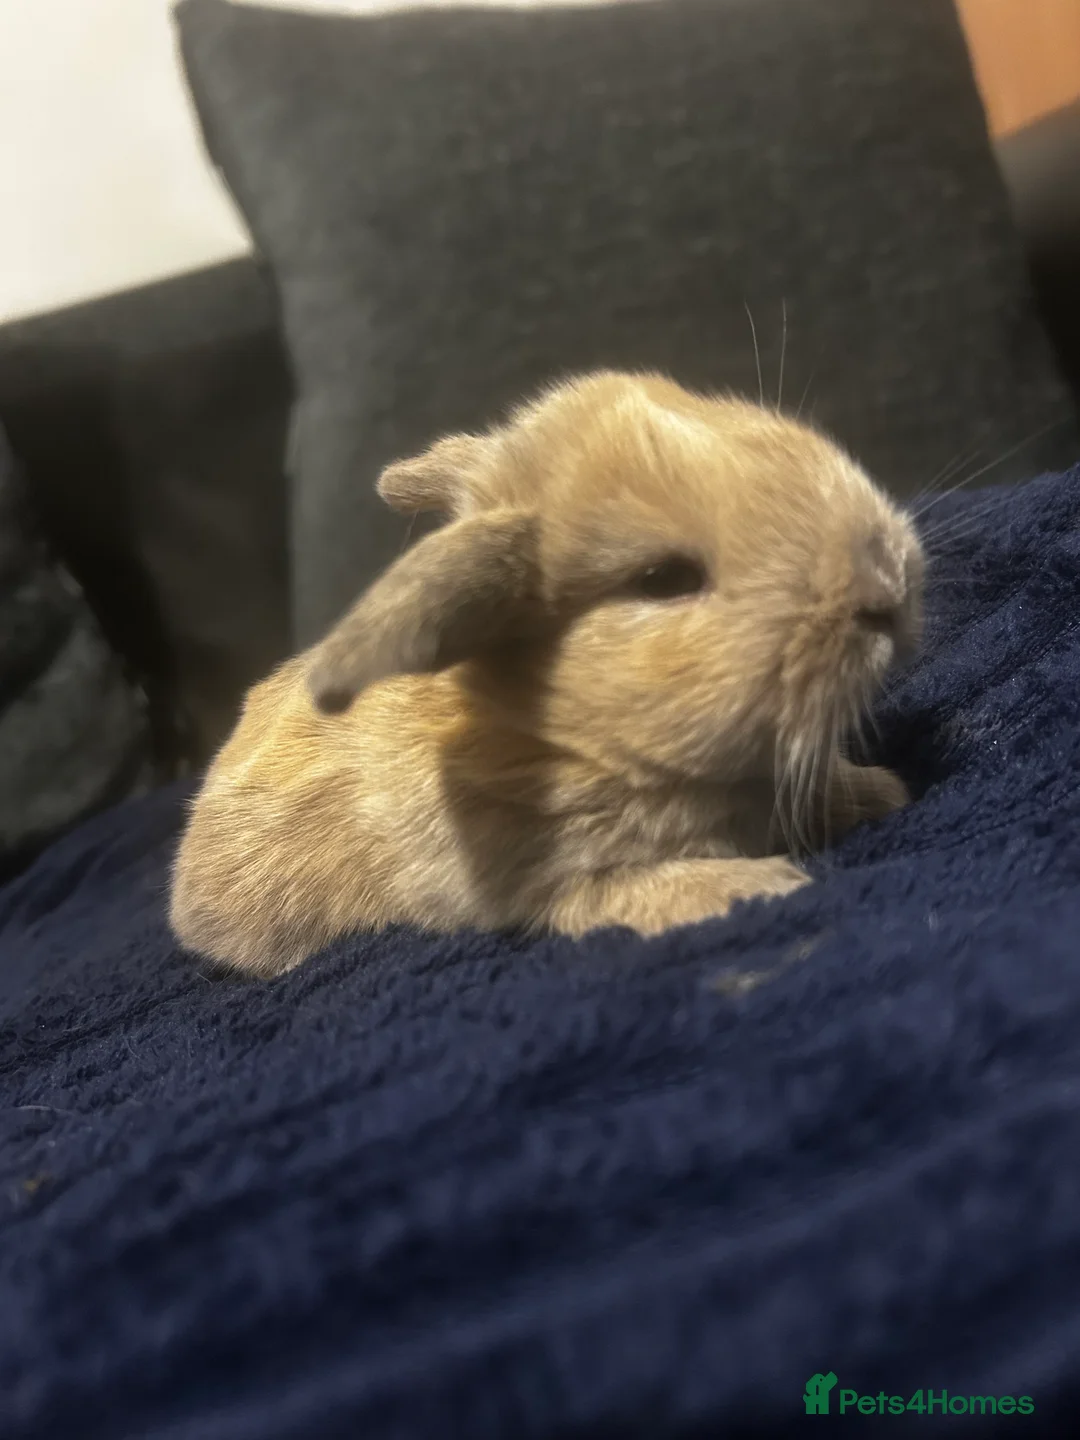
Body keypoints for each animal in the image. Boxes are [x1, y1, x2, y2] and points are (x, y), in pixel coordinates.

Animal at [169, 370, 924, 976]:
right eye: (662, 579)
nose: (889, 575)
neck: (562, 738)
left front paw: (882, 790)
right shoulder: (557, 885)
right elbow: (640, 895)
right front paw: (765, 886)